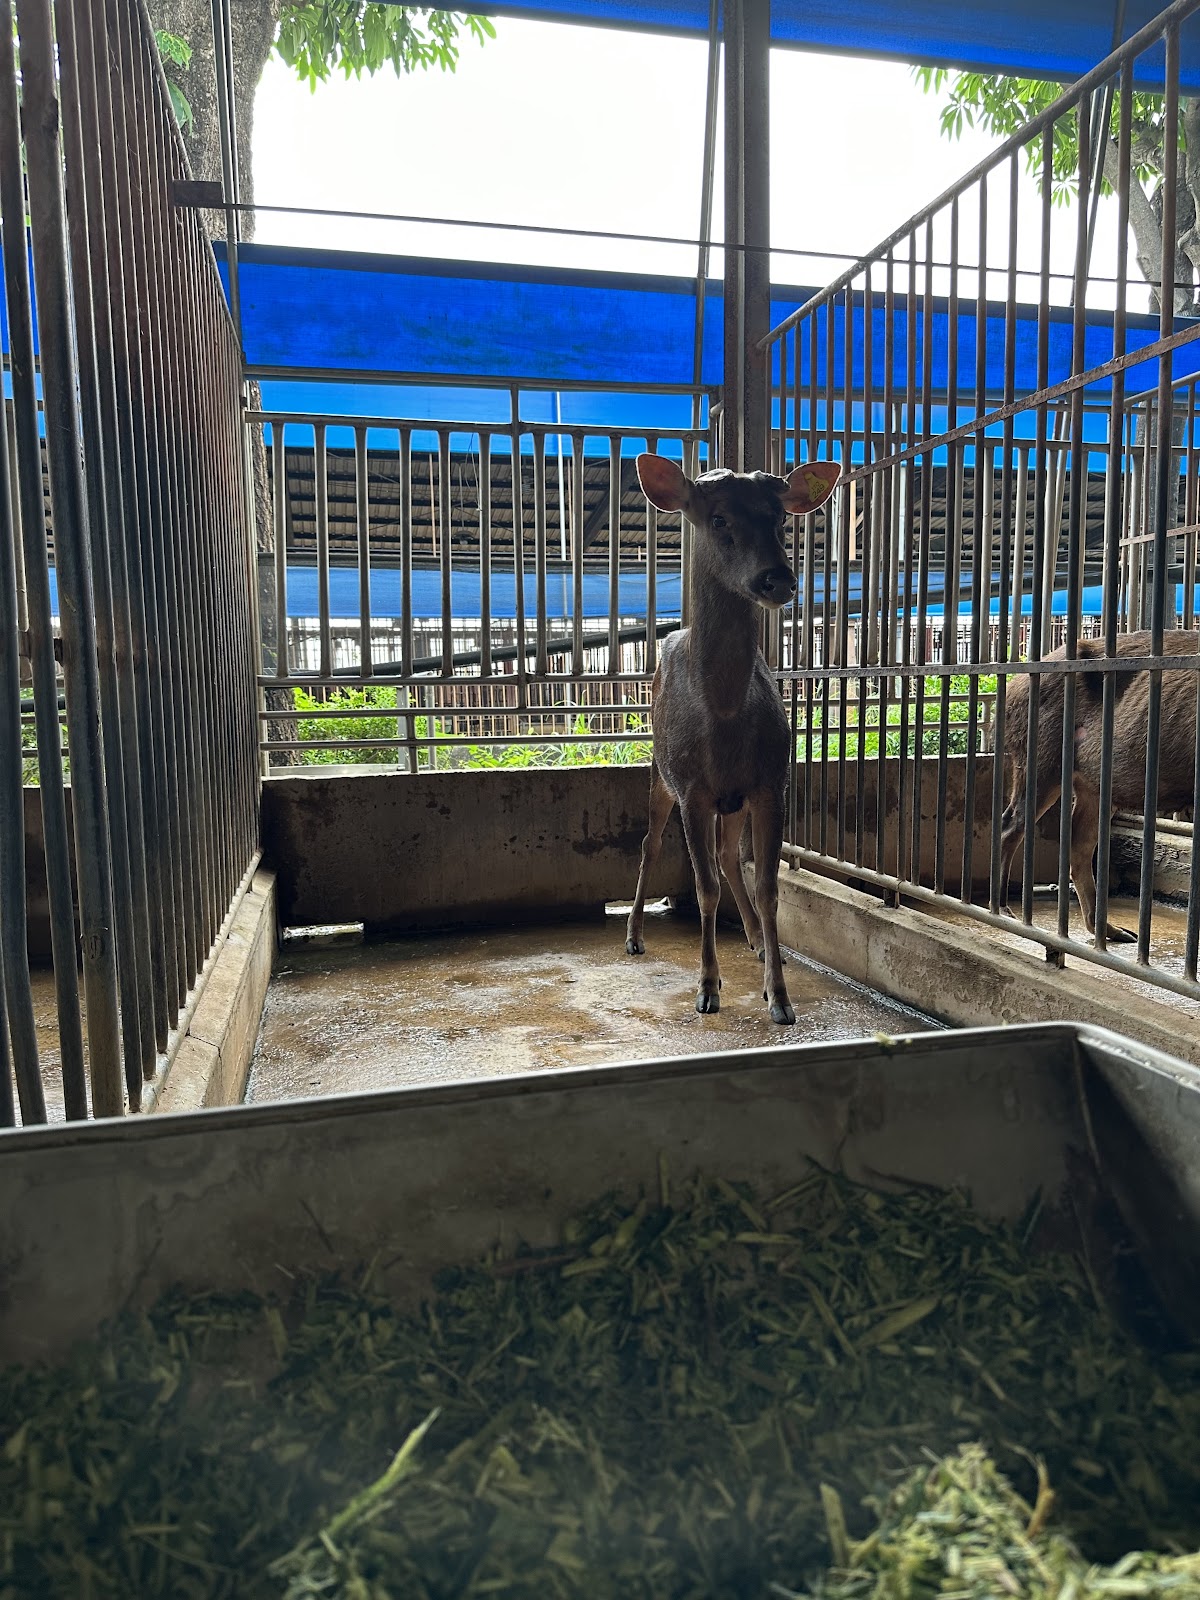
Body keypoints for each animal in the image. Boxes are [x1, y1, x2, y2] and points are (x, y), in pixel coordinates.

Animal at [625, 453, 841, 1023]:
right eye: (718, 518)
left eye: (781, 518)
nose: (777, 579)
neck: (722, 713)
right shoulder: (692, 789)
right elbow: (702, 889)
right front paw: (707, 989)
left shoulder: (770, 782)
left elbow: (768, 886)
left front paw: (780, 995)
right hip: (658, 771)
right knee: (650, 844)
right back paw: (633, 936)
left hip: (733, 799)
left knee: (727, 856)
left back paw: (757, 941)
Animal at [998, 628, 1200, 941]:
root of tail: (1013, 689)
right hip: (1039, 760)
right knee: (1011, 824)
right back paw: (1004, 911)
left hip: (1091, 785)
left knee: (1078, 842)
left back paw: (1115, 931)